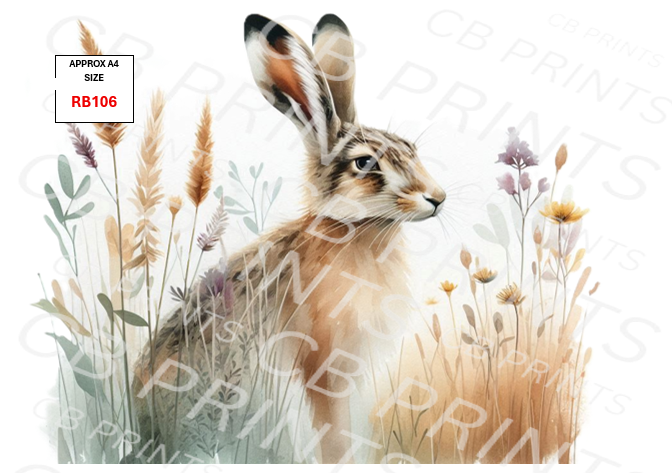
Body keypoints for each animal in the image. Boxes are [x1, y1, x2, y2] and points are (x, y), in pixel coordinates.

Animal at [133, 13, 446, 463]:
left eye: (412, 149)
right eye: (365, 164)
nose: (437, 198)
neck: (357, 230)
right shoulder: (324, 365)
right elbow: (334, 432)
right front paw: (342, 462)